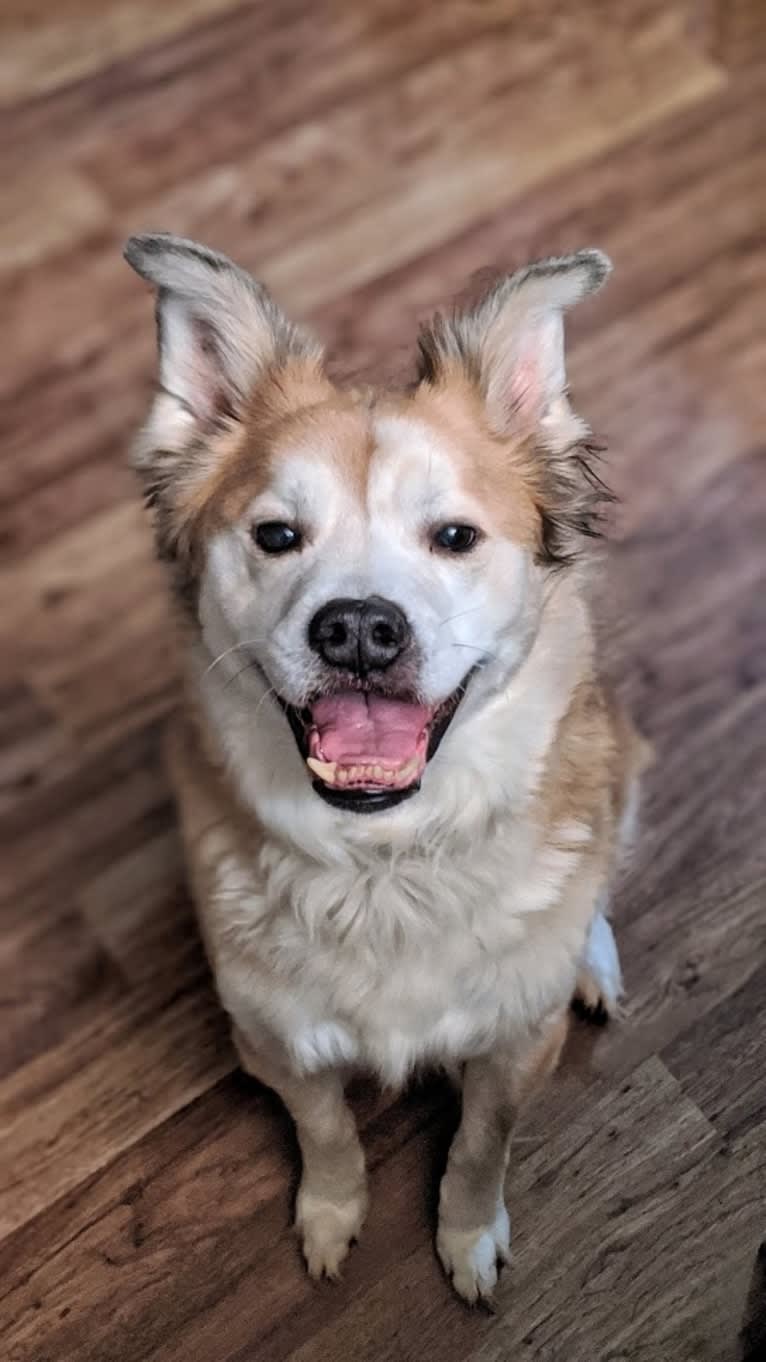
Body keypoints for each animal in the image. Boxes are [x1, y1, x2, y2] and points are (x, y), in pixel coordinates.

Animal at [125, 236, 643, 1307]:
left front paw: (468, 1237)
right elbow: (325, 1130)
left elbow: (482, 1146)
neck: (387, 863)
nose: (360, 629)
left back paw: (593, 959)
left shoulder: (515, 1049)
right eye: (277, 536)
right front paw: (331, 1217)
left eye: (454, 537)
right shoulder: (273, 1039)